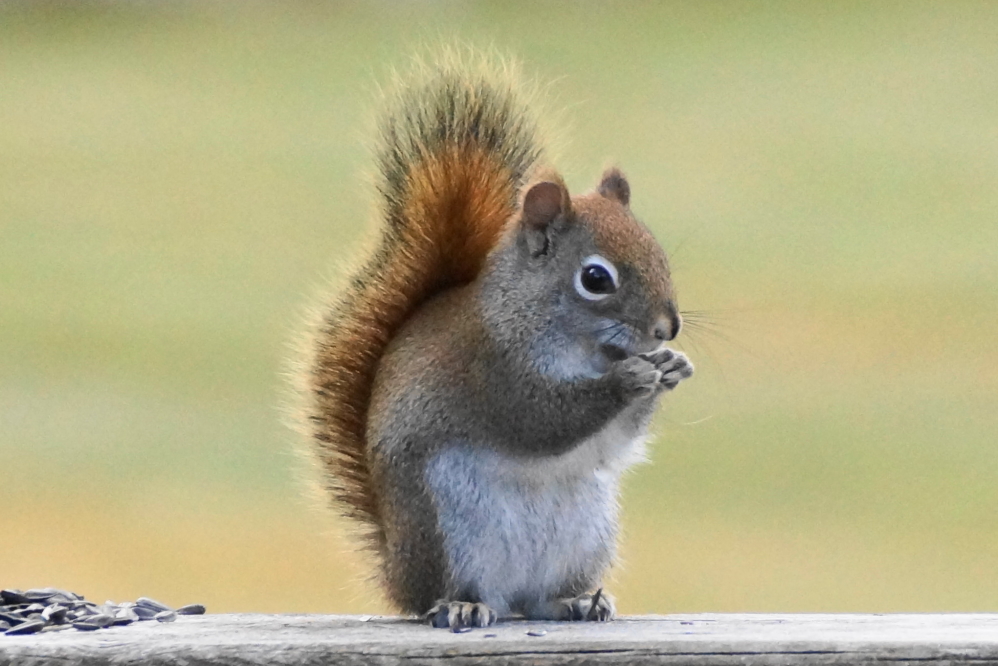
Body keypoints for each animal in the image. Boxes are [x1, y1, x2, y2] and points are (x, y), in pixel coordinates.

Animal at [300, 57, 693, 630]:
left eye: (659, 253)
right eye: (596, 279)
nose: (668, 328)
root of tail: (398, 572)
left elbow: (610, 443)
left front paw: (671, 366)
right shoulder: (493, 371)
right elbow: (542, 418)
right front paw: (629, 378)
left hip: (586, 533)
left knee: (541, 599)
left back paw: (576, 600)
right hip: (448, 526)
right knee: (450, 592)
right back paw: (462, 604)